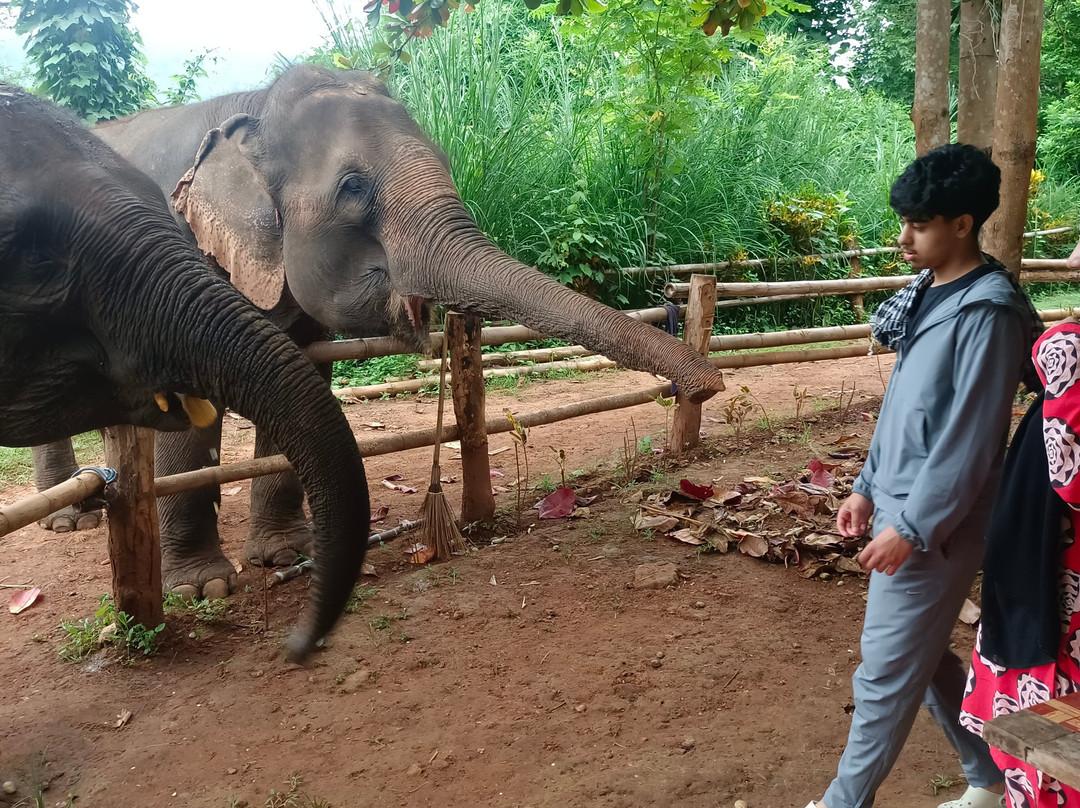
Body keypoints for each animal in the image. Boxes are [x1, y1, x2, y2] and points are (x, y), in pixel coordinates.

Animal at [33, 65, 726, 599]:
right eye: (353, 188)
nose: (709, 386)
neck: (252, 106)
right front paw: (204, 588)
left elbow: (305, 377)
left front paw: (287, 556)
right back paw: (68, 521)